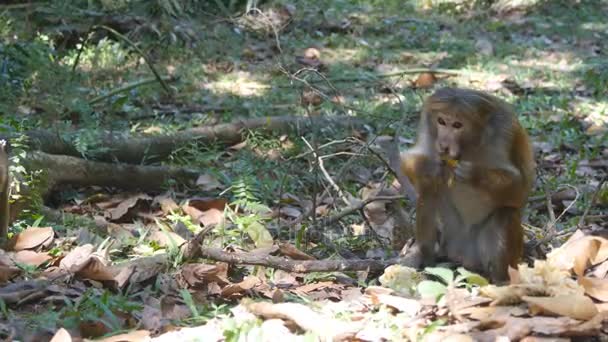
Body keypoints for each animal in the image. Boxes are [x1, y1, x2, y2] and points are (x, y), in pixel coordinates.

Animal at [402, 87, 536, 282]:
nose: (443, 145)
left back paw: (500, 280)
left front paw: (474, 174)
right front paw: (429, 166)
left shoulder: (505, 132)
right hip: (450, 237)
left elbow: (519, 191)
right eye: (441, 121)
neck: (471, 144)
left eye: (457, 125)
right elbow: (412, 162)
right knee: (428, 192)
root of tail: (464, 256)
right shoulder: (428, 127)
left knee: (505, 214)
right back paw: (424, 256)